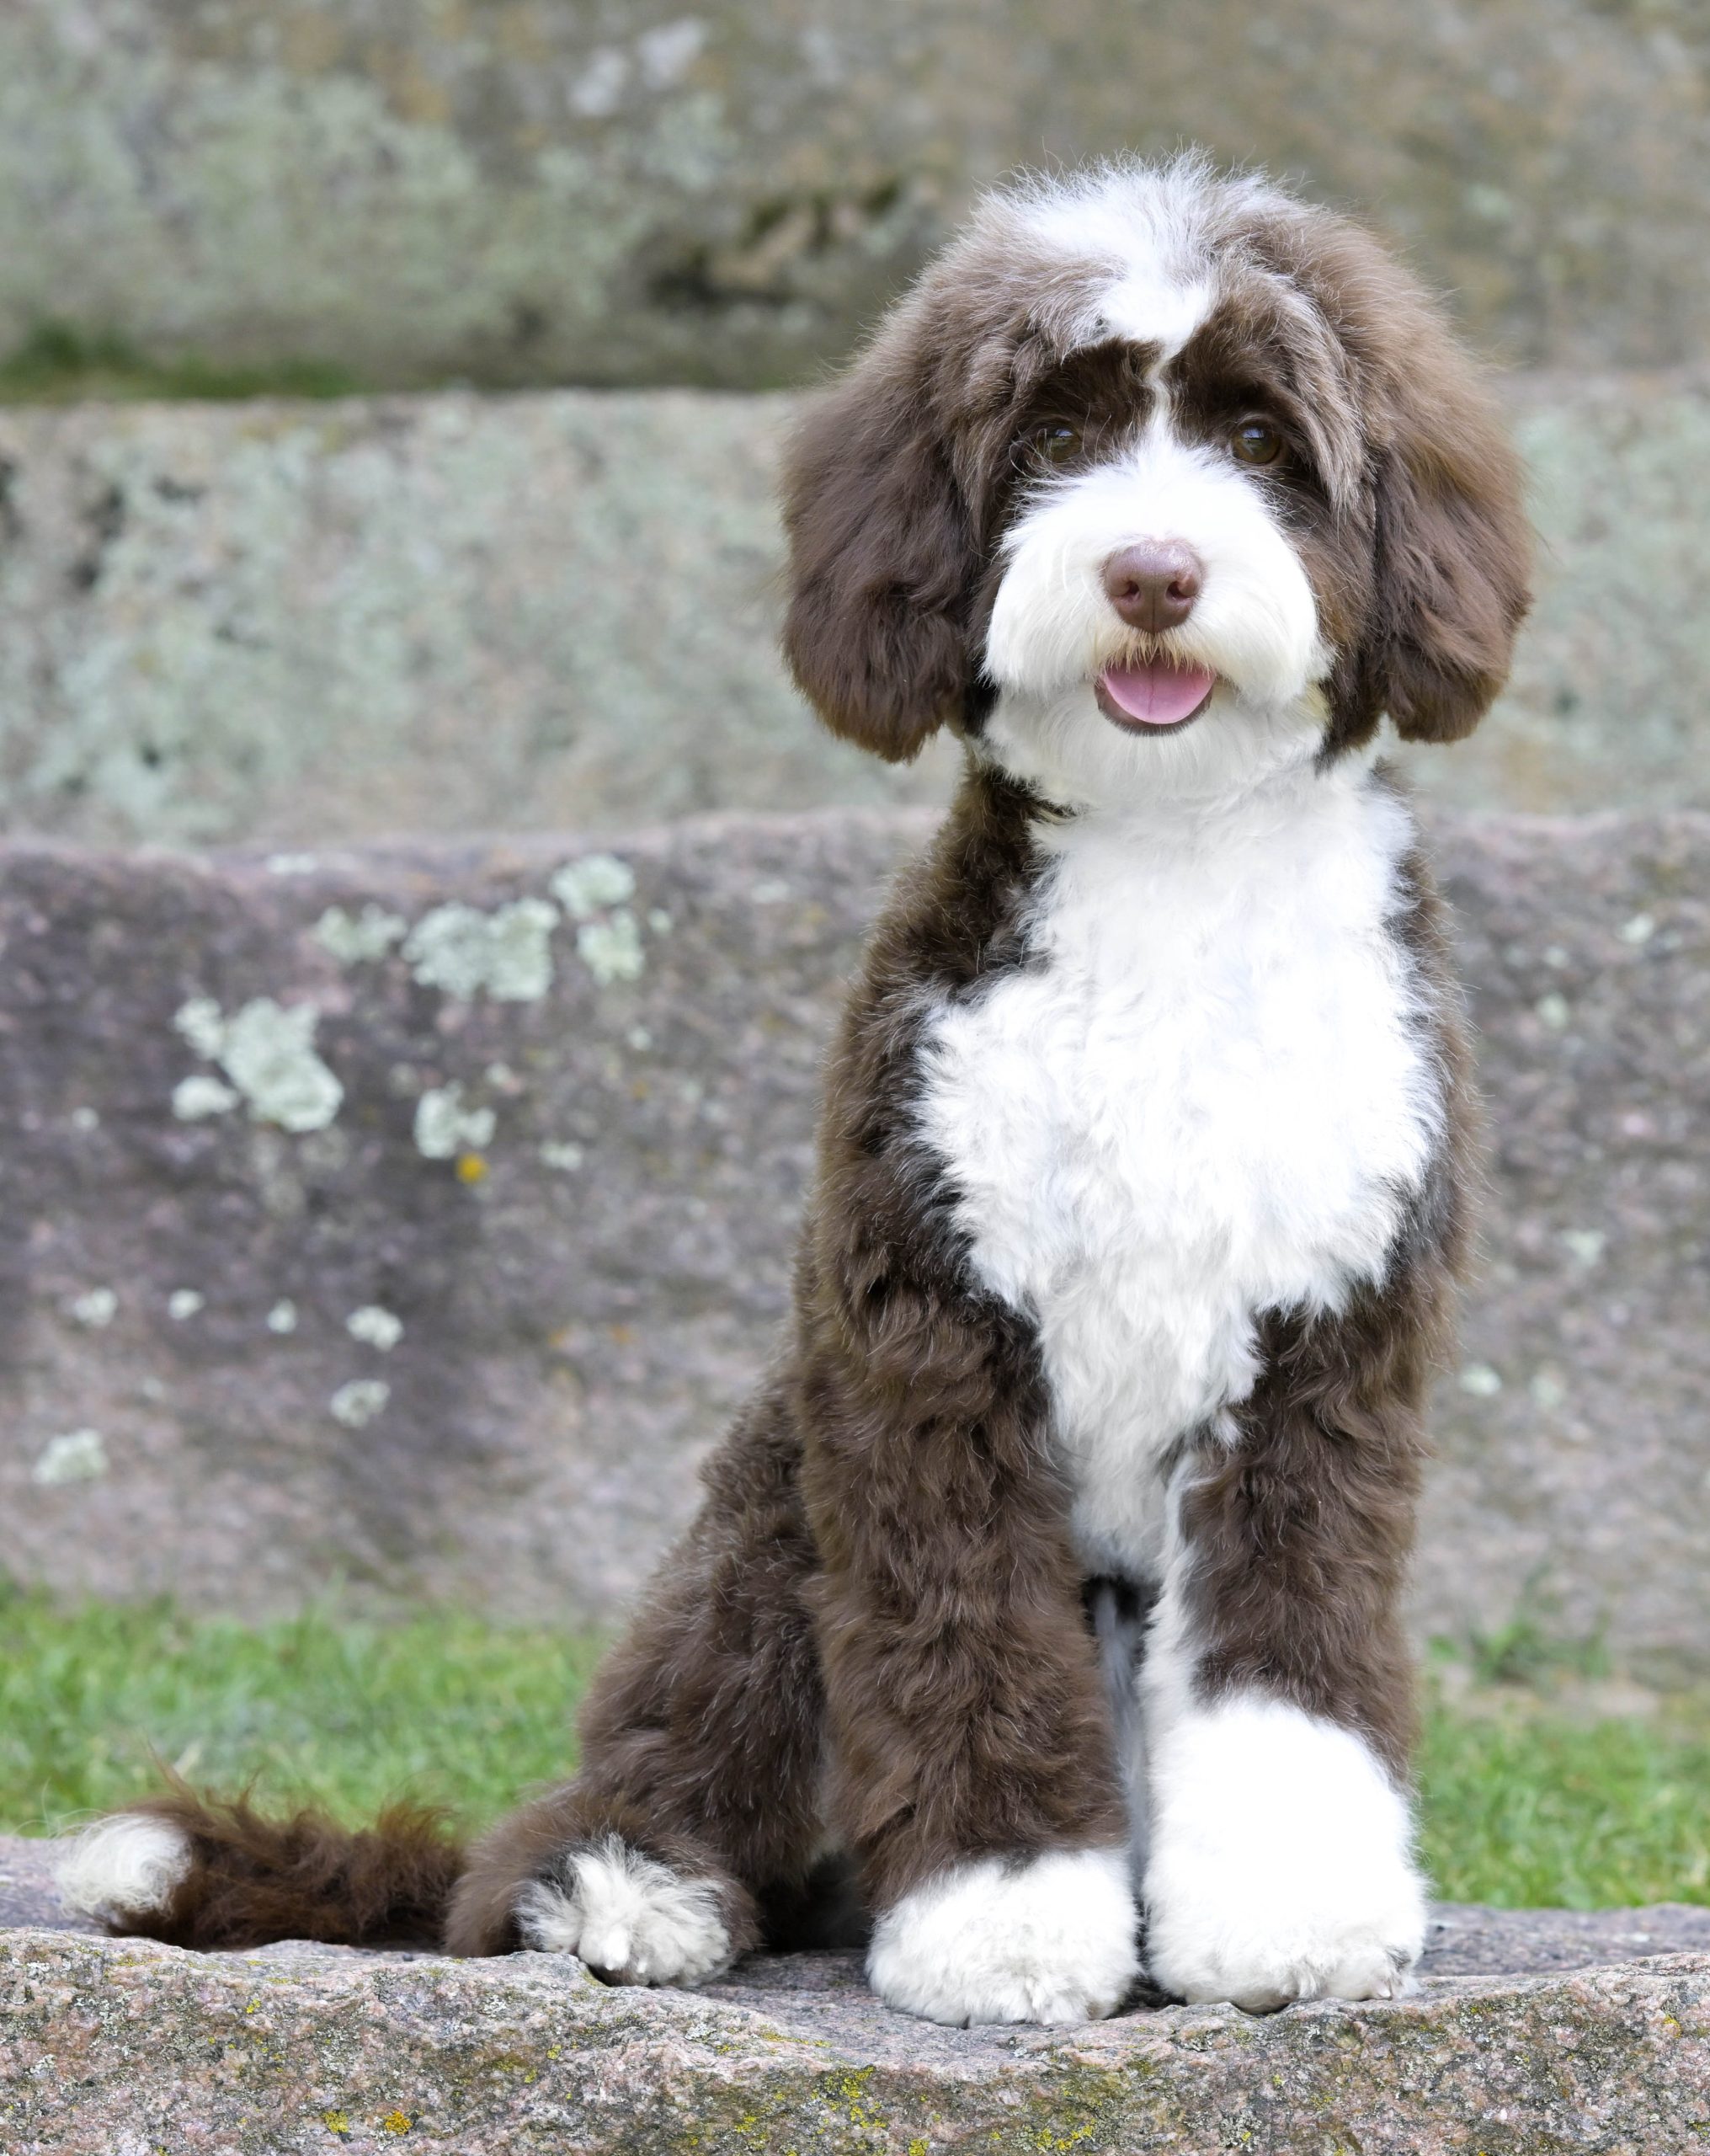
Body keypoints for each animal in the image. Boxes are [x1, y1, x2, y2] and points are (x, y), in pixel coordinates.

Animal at [60, 154, 1530, 2025]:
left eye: (1264, 438)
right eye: (1054, 433)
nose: (1149, 570)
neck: (1170, 860)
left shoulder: (1324, 1346)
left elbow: (1288, 1657)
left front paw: (1286, 1918)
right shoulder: (923, 1335)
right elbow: (961, 1627)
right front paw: (1001, 1923)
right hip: (763, 1526)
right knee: (597, 1801)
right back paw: (631, 1890)